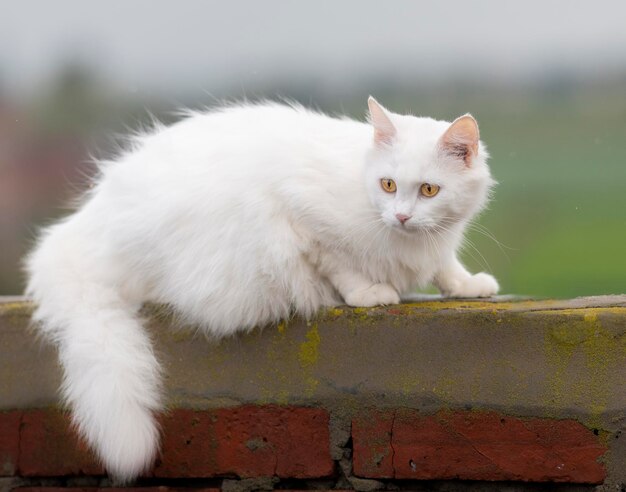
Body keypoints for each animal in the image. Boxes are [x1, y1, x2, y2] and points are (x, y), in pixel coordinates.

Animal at [25, 98, 498, 482]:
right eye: (387, 185)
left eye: (429, 190)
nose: (400, 216)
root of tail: (81, 228)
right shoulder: (305, 223)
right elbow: (341, 266)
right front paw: (369, 292)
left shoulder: (437, 244)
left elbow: (445, 267)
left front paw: (467, 285)